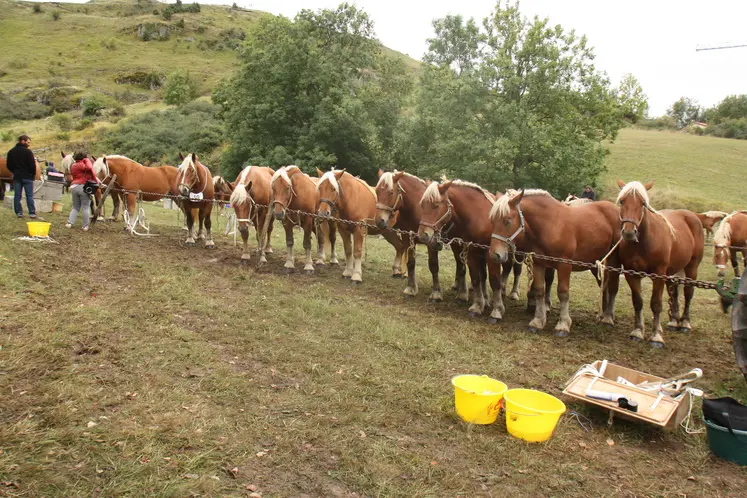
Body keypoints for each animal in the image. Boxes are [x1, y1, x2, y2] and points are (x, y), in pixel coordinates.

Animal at [376, 169, 470, 302]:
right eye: (377, 191)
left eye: (391, 192)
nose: (380, 221)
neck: (415, 209)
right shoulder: (408, 239)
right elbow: (411, 263)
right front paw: (410, 289)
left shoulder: (431, 242)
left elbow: (434, 266)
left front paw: (436, 293)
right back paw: (457, 286)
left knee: (461, 263)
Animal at [418, 180, 524, 322]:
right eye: (423, 205)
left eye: (436, 205)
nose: (423, 235)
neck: (480, 218)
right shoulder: (472, 252)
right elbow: (476, 278)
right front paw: (477, 306)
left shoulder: (492, 256)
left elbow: (494, 280)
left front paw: (497, 310)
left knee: (515, 270)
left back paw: (512, 293)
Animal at [488, 189, 624, 336]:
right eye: (492, 221)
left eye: (507, 221)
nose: (494, 254)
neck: (551, 224)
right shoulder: (539, 263)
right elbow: (539, 291)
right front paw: (538, 321)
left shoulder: (564, 264)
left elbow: (563, 293)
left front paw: (563, 325)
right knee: (603, 284)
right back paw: (604, 313)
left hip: (612, 262)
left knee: (612, 286)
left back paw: (608, 317)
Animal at [616, 181, 704, 348]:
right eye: (622, 201)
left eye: (643, 203)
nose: (629, 233)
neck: (643, 242)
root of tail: (692, 216)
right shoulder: (631, 273)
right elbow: (638, 302)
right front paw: (638, 331)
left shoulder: (658, 274)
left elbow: (656, 304)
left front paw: (656, 336)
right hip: (672, 272)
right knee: (674, 293)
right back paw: (674, 321)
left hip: (692, 267)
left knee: (688, 293)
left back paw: (685, 323)